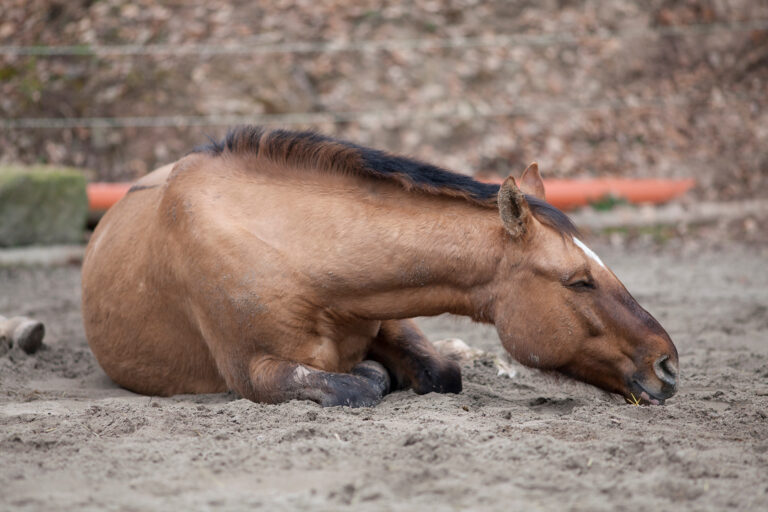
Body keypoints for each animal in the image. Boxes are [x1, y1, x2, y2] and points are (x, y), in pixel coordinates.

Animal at [81, 127, 679, 407]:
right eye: (579, 281)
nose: (668, 365)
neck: (296, 252)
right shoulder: (254, 372)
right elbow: (357, 384)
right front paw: (373, 374)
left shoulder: (390, 312)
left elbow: (441, 372)